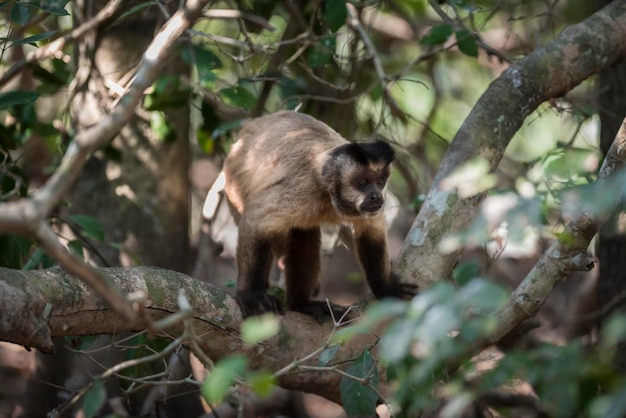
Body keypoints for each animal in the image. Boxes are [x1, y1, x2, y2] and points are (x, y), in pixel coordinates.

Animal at [223, 109, 414, 318]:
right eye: (363, 182)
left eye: (380, 181)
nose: (376, 196)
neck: (328, 193)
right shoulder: (302, 189)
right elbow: (257, 221)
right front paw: (251, 296)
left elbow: (371, 230)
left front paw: (384, 287)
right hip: (234, 185)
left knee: (304, 234)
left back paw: (300, 305)